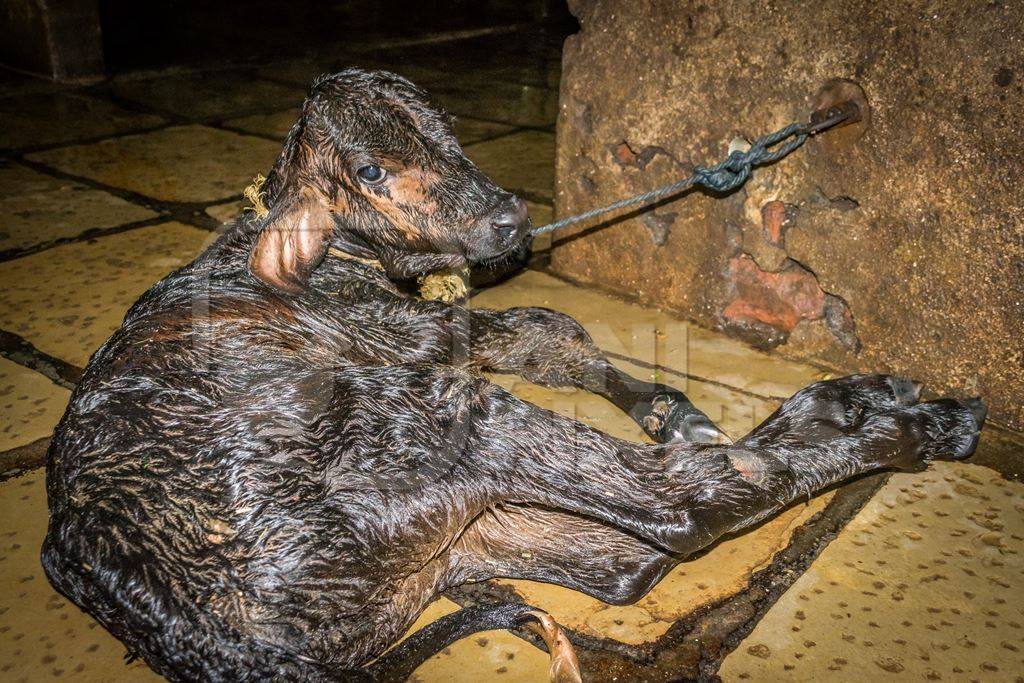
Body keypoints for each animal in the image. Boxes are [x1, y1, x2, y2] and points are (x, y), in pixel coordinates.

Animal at [39, 70, 983, 683]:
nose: (508, 217)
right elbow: (535, 327)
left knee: (630, 556)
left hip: (461, 535)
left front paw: (667, 404)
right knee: (685, 503)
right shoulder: (409, 333)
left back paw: (855, 404)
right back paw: (911, 422)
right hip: (429, 426)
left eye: (449, 133)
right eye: (372, 170)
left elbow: (551, 335)